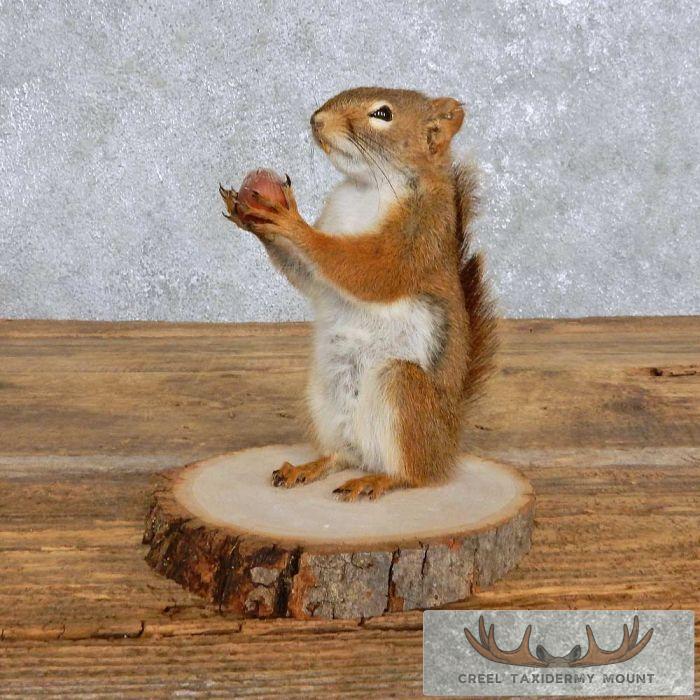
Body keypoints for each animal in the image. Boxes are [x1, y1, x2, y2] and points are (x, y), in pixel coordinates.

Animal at [219, 87, 497, 501]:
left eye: (382, 114)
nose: (316, 120)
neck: (366, 187)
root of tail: (448, 441)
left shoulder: (416, 236)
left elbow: (365, 270)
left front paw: (288, 219)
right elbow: (309, 277)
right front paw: (251, 215)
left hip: (403, 391)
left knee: (414, 475)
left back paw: (378, 480)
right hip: (324, 398)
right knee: (344, 455)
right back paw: (309, 466)